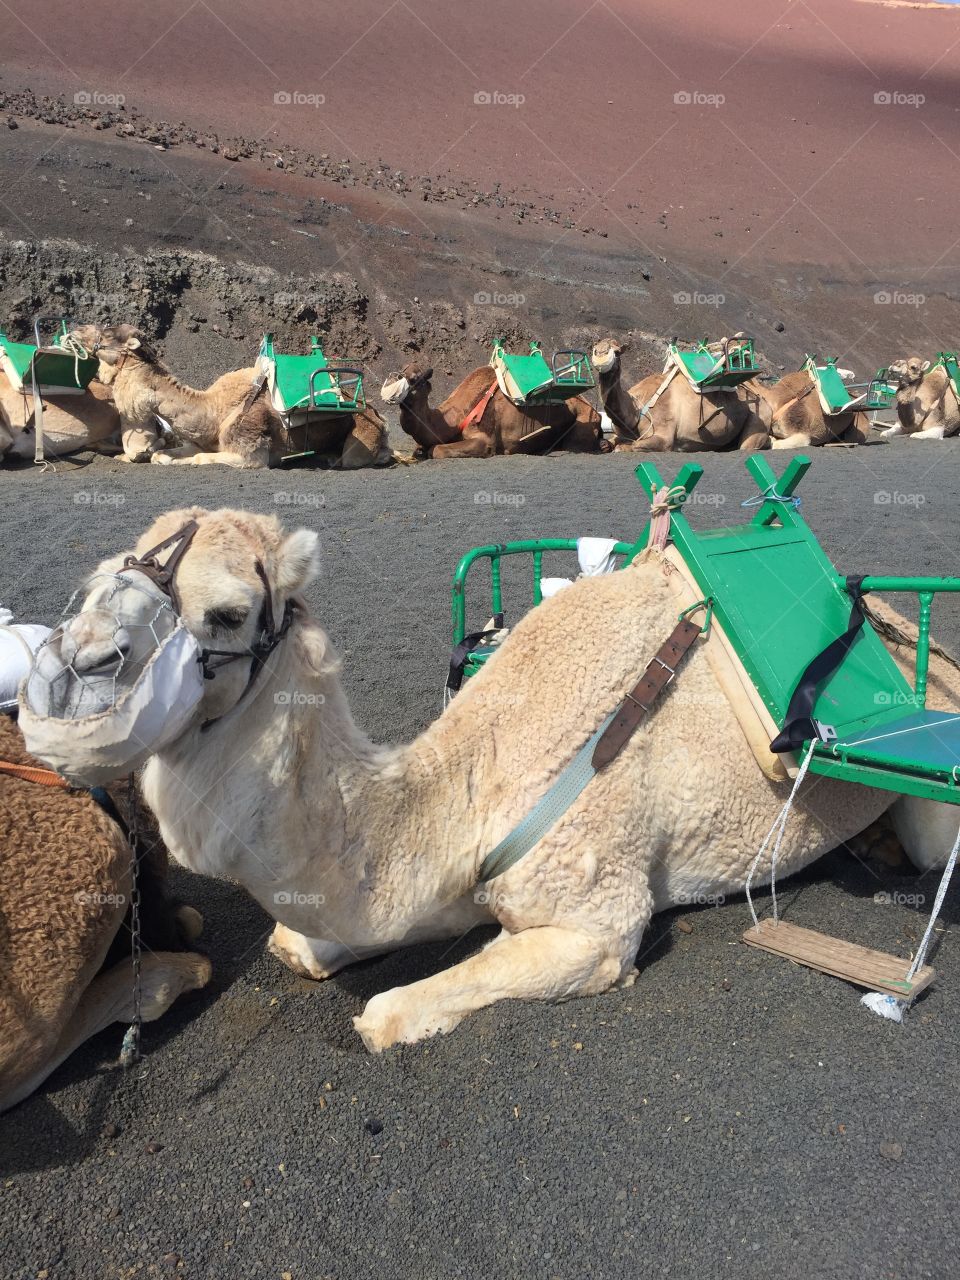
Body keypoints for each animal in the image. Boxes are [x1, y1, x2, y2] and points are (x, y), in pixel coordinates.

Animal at [27, 506, 959, 1054]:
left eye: (225, 612)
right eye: (110, 574)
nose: (74, 672)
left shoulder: (599, 921)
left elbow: (393, 1010)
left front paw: (388, 1013)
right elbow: (304, 945)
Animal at [69, 324, 391, 469]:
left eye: (109, 333)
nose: (74, 330)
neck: (214, 412)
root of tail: (379, 416)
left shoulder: (252, 454)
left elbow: (201, 458)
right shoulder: (196, 440)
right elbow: (166, 455)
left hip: (361, 439)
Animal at [380, 359, 609, 458]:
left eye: (412, 379)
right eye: (399, 372)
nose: (386, 392)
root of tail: (595, 412)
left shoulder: (484, 440)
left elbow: (436, 450)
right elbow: (421, 448)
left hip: (581, 422)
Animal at [590, 339, 768, 452]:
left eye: (617, 352)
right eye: (595, 349)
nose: (600, 358)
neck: (636, 409)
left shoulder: (664, 436)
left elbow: (629, 446)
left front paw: (621, 448)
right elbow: (605, 443)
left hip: (759, 418)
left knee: (746, 446)